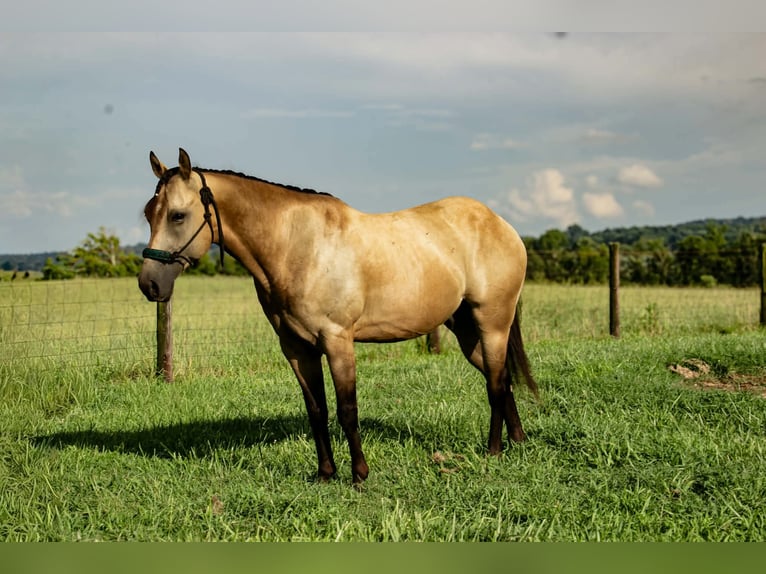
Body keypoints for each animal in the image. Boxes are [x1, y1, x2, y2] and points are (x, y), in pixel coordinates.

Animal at [138, 148, 538, 484]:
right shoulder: (297, 348)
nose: (149, 284)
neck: (297, 247)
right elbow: (317, 410)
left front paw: (359, 474)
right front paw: (325, 473)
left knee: (496, 383)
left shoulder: (338, 341)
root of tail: (500, 224)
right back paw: (517, 442)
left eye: (178, 215)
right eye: (147, 213)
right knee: (502, 379)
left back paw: (494, 451)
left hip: (493, 324)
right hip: (467, 330)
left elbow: (347, 409)